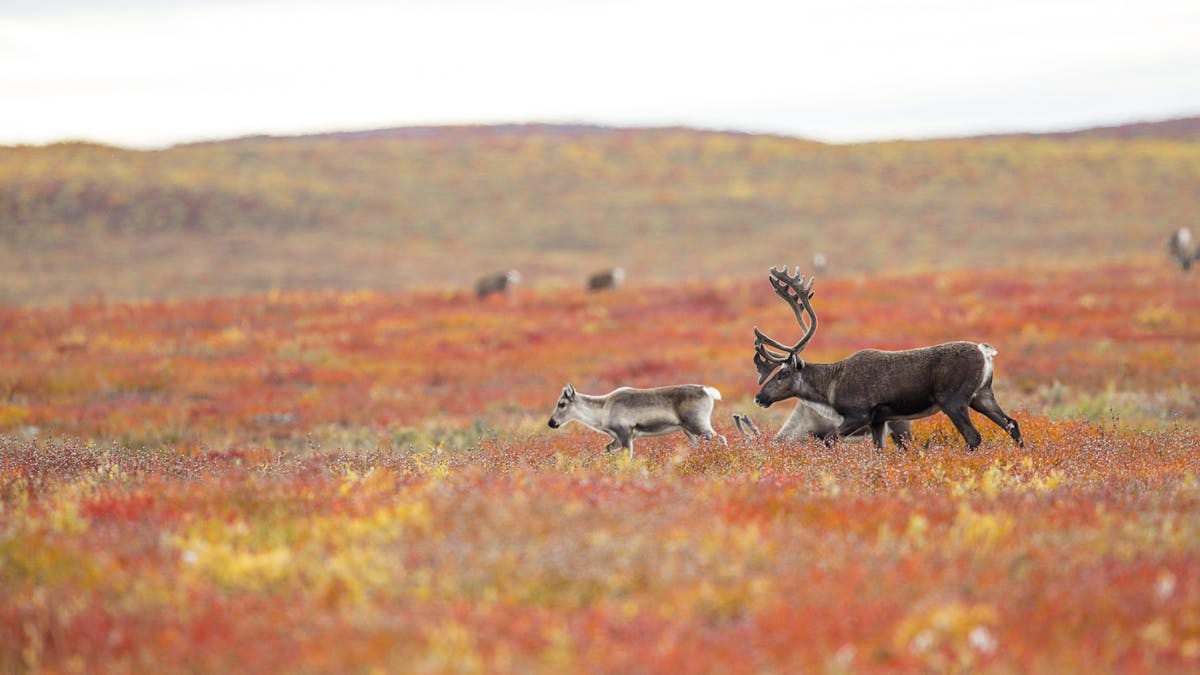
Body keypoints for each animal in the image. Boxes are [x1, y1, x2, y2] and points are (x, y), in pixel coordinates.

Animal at [547, 383, 726, 459]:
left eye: (561, 403)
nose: (551, 423)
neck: (603, 409)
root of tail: (707, 391)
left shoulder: (625, 433)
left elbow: (628, 457)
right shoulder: (619, 438)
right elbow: (607, 449)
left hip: (698, 424)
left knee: (720, 438)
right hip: (688, 430)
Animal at [748, 266, 1023, 451]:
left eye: (783, 373)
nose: (759, 398)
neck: (830, 386)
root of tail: (985, 351)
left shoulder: (859, 414)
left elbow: (829, 439)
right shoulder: (879, 419)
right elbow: (878, 449)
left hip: (953, 400)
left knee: (974, 436)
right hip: (982, 395)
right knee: (1012, 423)